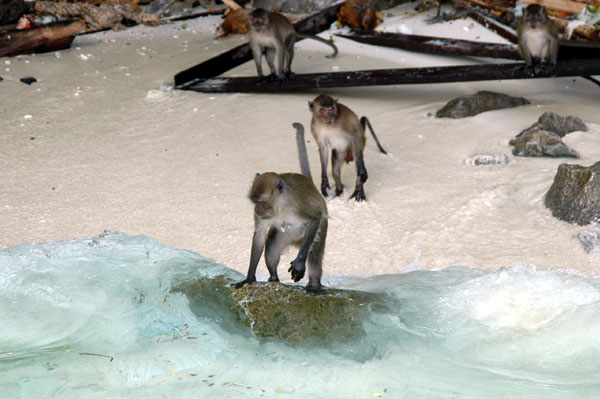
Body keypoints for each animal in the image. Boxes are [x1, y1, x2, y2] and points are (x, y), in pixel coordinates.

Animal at [234, 123, 328, 292]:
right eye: (254, 202)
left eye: (262, 202)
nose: (257, 209)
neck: (280, 206)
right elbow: (259, 237)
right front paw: (249, 278)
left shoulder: (297, 206)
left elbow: (314, 218)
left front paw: (299, 263)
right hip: (287, 235)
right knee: (271, 246)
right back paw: (274, 278)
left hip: (318, 229)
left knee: (314, 254)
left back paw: (314, 286)